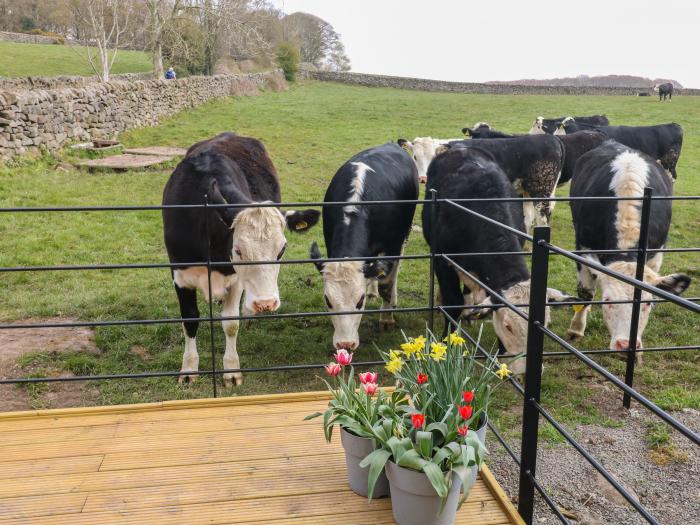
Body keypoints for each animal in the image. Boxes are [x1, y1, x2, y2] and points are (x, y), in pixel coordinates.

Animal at [163, 131, 318, 384]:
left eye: (282, 250)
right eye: (238, 251)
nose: (266, 303)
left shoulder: (234, 279)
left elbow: (230, 322)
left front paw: (231, 371)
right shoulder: (180, 274)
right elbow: (190, 319)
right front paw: (188, 369)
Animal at [310, 141, 418, 350]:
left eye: (359, 301)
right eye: (328, 301)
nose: (345, 344)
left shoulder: (392, 245)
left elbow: (387, 284)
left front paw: (387, 319)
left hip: (404, 234)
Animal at [422, 144, 576, 372]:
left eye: (546, 324)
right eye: (508, 326)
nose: (525, 370)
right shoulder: (443, 261)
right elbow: (453, 302)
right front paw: (445, 342)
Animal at [568, 141, 696, 358]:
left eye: (647, 303)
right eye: (608, 300)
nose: (625, 345)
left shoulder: (656, 255)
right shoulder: (583, 246)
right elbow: (585, 292)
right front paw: (576, 329)